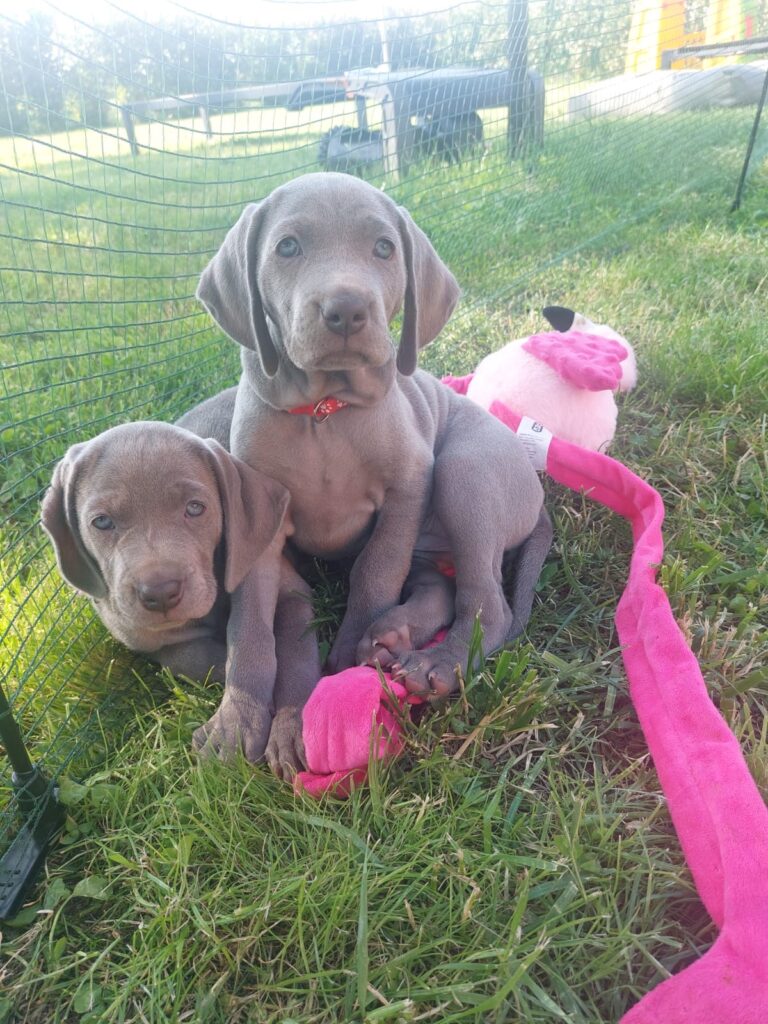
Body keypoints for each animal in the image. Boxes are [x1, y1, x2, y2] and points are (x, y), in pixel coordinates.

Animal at [39, 417, 321, 774]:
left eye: (195, 508)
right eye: (101, 521)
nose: (160, 593)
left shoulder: (288, 588)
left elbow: (281, 647)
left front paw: (280, 727)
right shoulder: (145, 638)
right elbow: (190, 658)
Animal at [195, 172, 548, 708]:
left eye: (384, 247)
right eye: (287, 246)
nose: (346, 310)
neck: (324, 413)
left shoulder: (408, 486)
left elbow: (376, 570)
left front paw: (345, 657)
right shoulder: (260, 519)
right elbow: (250, 621)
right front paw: (238, 717)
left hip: (466, 473)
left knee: (488, 602)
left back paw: (437, 662)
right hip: (435, 541)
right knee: (443, 587)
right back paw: (394, 634)